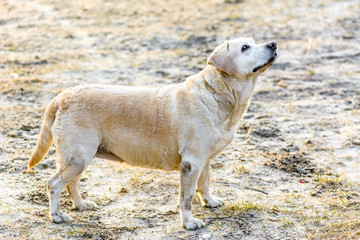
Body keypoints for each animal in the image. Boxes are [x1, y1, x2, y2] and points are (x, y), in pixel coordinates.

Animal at [28, 38, 278, 231]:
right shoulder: (191, 163)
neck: (218, 93)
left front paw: (209, 201)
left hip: (78, 157)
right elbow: (186, 198)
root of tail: (61, 96)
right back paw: (57, 216)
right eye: (245, 47)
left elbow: (205, 184)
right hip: (78, 156)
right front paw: (189, 223)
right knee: (54, 183)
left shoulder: (204, 161)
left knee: (71, 183)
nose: (273, 44)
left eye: (255, 41)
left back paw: (81, 205)